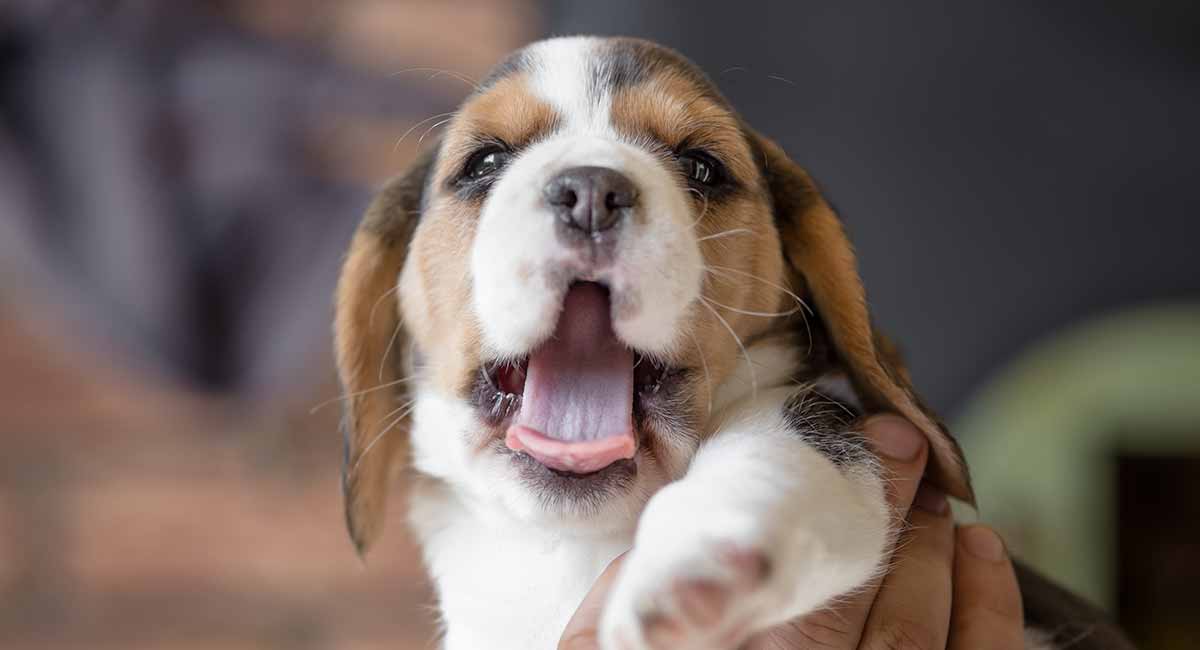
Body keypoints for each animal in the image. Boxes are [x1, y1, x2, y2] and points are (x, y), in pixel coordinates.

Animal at [336, 36, 1132, 650]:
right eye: (486, 163)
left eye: (700, 166)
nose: (590, 193)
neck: (574, 541)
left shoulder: (819, 433)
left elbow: (767, 449)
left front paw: (685, 575)